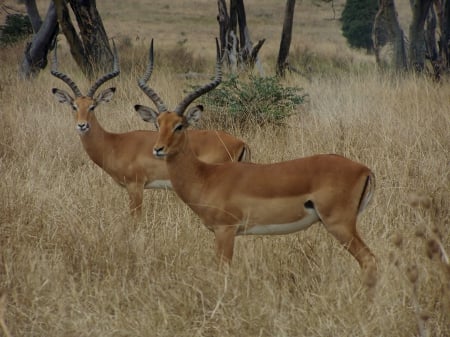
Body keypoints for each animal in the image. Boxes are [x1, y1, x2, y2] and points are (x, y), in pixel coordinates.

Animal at [51, 40, 251, 217]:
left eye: (92, 107)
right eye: (74, 106)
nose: (82, 125)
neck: (114, 143)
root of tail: (241, 143)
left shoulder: (136, 186)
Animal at [135, 40, 378, 272]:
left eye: (179, 126)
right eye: (158, 124)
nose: (158, 149)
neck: (206, 177)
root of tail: (365, 169)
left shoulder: (225, 231)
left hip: (339, 224)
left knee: (369, 259)